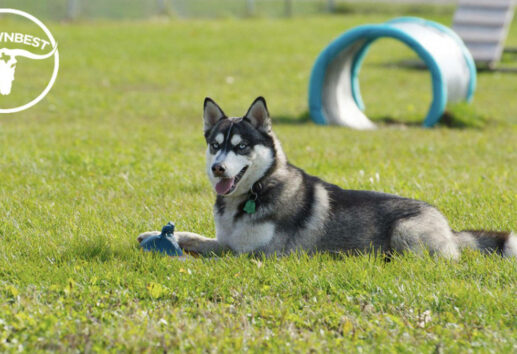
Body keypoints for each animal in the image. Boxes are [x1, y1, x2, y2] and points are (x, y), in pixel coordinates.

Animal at [138, 98, 516, 258]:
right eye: (215, 146)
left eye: (241, 146)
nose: (218, 168)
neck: (255, 192)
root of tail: (449, 227)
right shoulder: (227, 236)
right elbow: (196, 236)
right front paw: (156, 234)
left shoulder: (254, 252)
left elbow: (210, 247)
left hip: (406, 231)